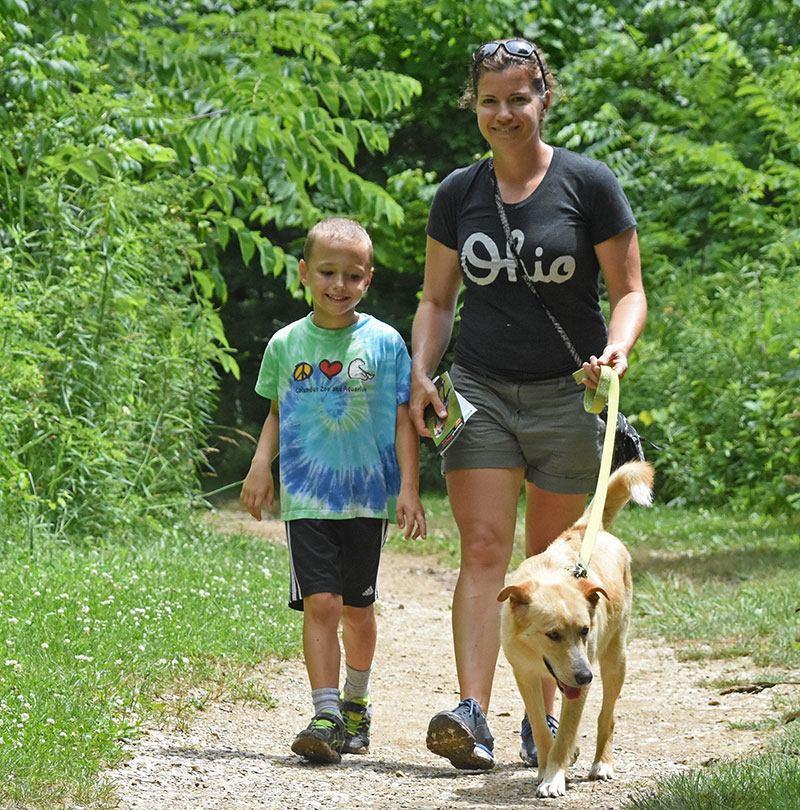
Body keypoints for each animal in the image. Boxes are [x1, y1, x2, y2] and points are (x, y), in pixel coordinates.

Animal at [496, 460, 652, 796]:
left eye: (584, 631)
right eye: (552, 634)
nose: (585, 676)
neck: (552, 575)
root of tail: (588, 530)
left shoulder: (580, 684)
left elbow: (566, 733)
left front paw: (554, 777)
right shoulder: (525, 676)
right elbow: (541, 729)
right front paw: (545, 770)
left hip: (615, 659)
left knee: (608, 716)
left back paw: (602, 763)